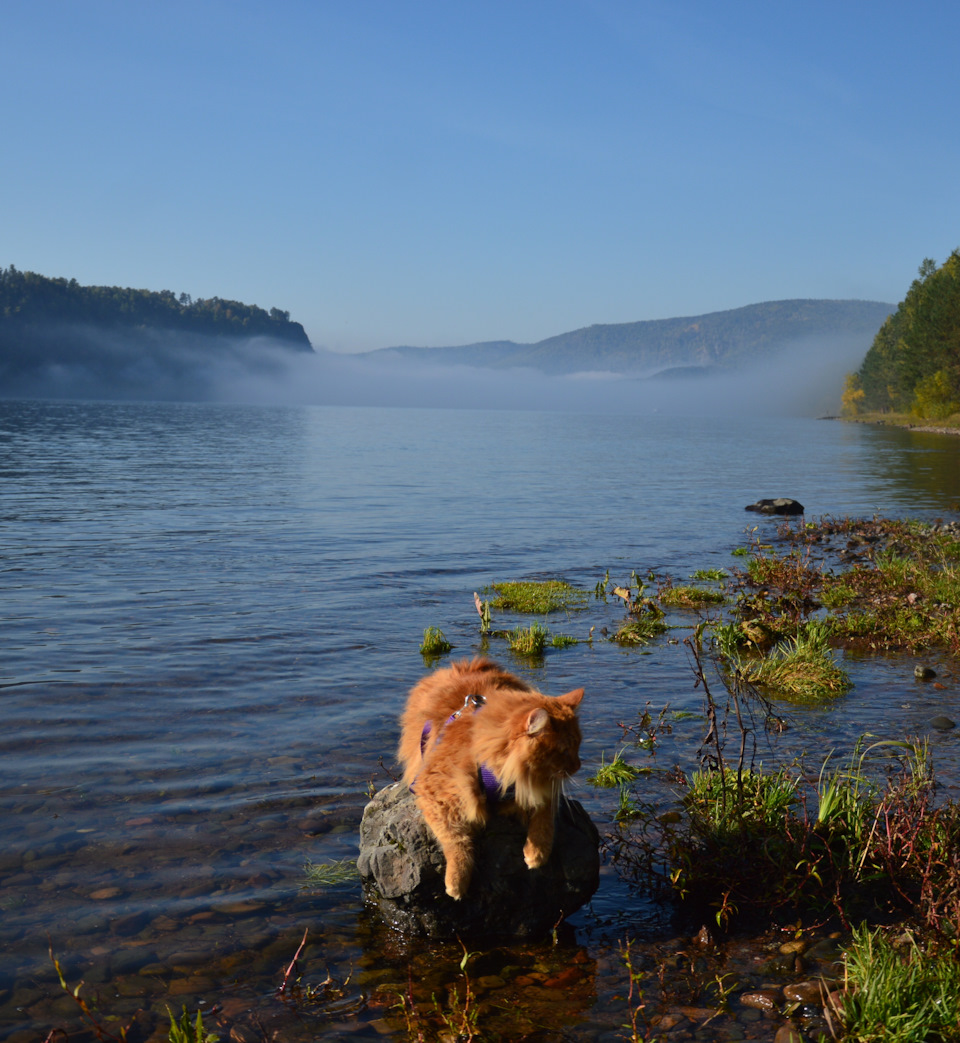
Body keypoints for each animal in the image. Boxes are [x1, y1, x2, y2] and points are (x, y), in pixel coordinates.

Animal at [396, 659, 584, 896]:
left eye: (578, 746)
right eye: (565, 751)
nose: (579, 766)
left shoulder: (544, 788)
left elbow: (545, 815)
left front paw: (537, 851)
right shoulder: (433, 791)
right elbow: (455, 840)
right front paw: (457, 879)